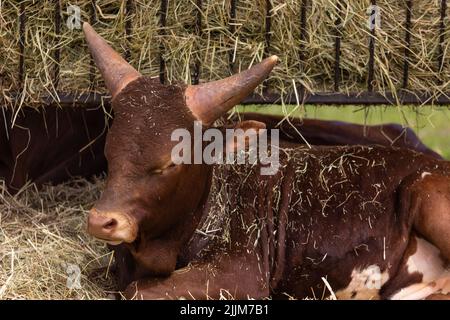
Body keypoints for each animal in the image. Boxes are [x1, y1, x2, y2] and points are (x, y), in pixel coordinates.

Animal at [82, 23, 448, 300]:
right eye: (110, 152)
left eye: (171, 162)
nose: (102, 222)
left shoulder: (237, 276)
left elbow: (135, 291)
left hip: (427, 195)